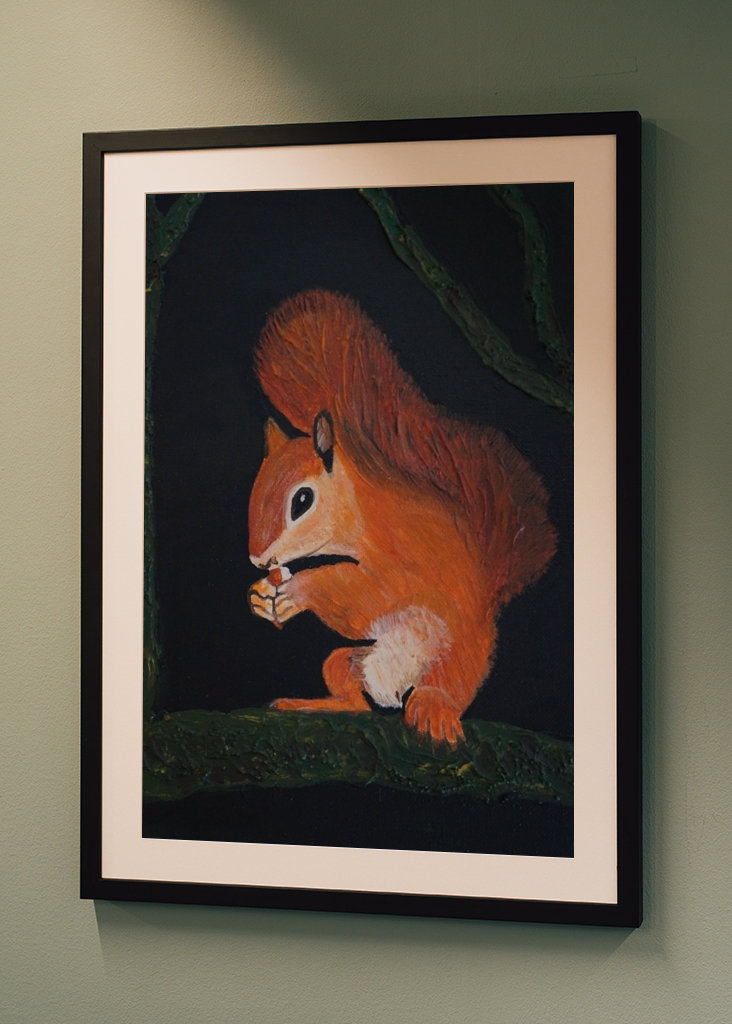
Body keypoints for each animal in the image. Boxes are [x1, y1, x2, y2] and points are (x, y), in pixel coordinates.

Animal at [247, 289, 557, 744]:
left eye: (301, 501)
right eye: (255, 489)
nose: (258, 559)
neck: (363, 512)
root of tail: (393, 686)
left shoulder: (403, 558)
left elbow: (365, 594)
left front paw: (299, 589)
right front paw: (259, 596)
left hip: (457, 658)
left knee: (448, 687)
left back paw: (433, 708)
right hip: (349, 660)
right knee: (351, 690)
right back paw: (320, 704)